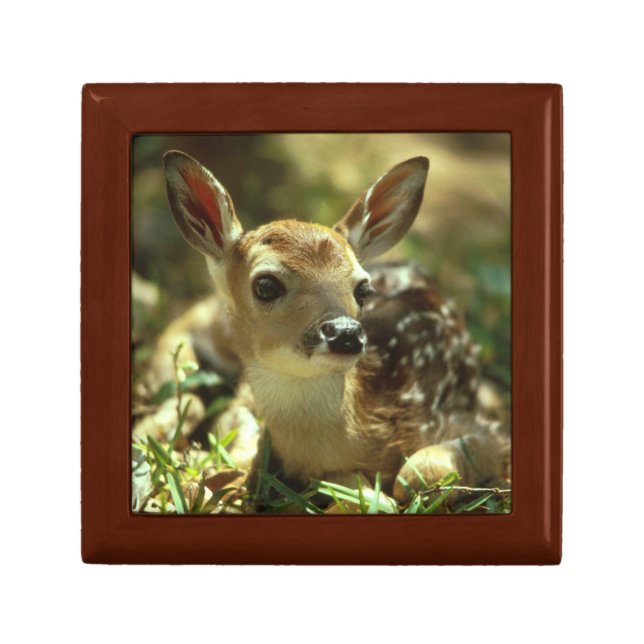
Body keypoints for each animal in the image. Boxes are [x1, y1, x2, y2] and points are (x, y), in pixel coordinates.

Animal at [159, 150, 509, 505]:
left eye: (363, 289)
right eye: (266, 285)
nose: (346, 333)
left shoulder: (485, 427)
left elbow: (413, 474)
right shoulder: (244, 402)